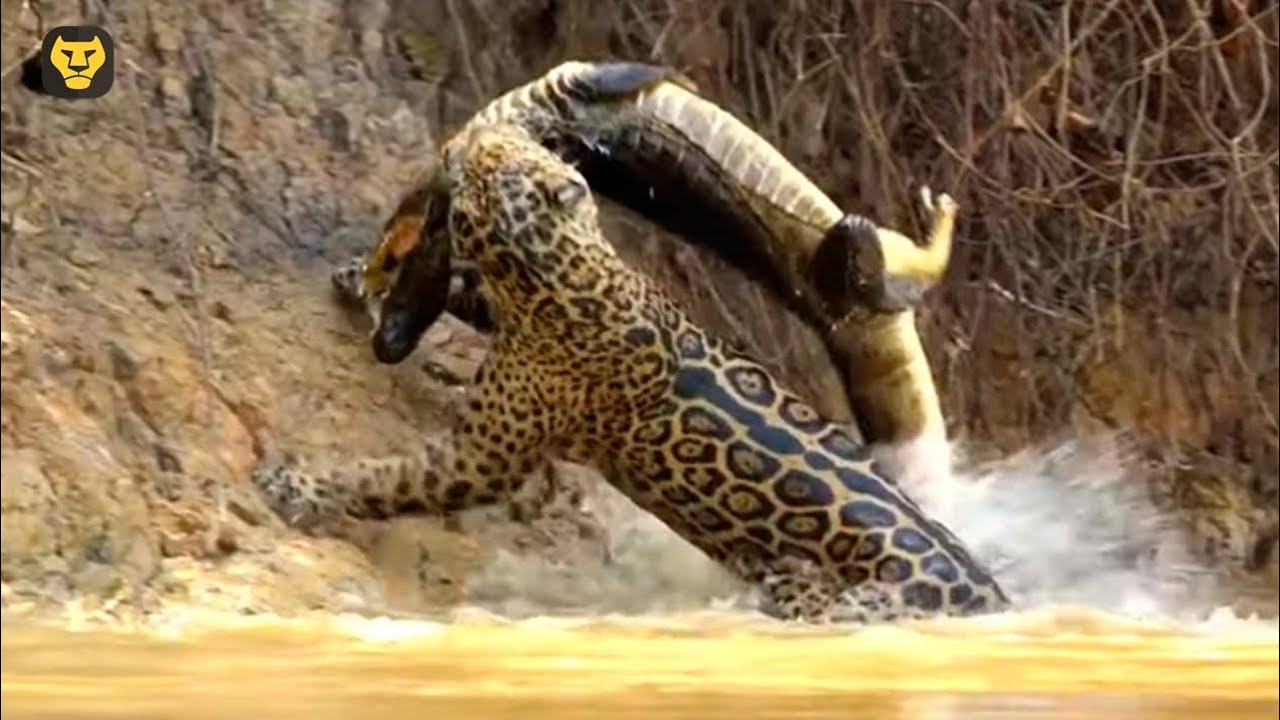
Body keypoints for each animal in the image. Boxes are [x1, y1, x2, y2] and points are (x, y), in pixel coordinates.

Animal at [255, 122, 1009, 623]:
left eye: (501, 153)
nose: (477, 132)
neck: (558, 269)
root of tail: (990, 597)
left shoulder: (483, 457)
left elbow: (391, 478)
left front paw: (297, 487)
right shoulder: (510, 311)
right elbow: (468, 299)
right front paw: (361, 278)